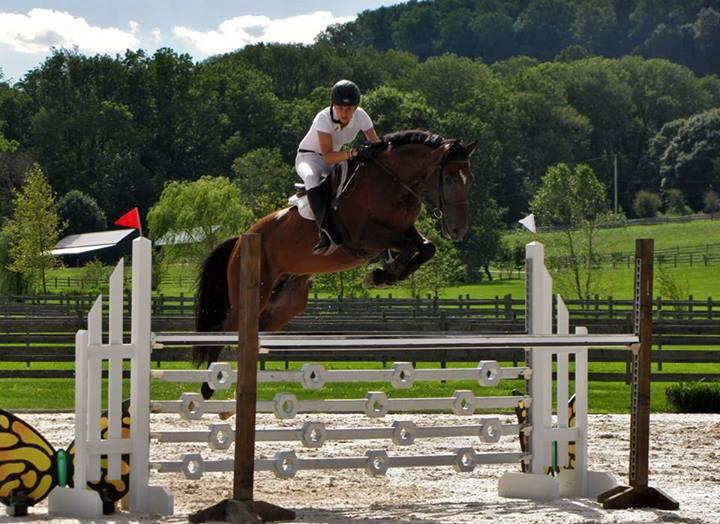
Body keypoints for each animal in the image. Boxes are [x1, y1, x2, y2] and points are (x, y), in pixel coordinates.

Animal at [190, 130, 478, 398]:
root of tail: (242, 238)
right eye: (450, 178)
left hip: (283, 304)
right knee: (222, 330)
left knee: (248, 331)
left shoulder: (402, 231)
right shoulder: (364, 236)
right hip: (253, 291)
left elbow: (426, 248)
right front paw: (381, 275)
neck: (390, 182)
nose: (458, 230)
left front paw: (383, 275)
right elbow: (408, 248)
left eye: (469, 179)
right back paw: (208, 386)